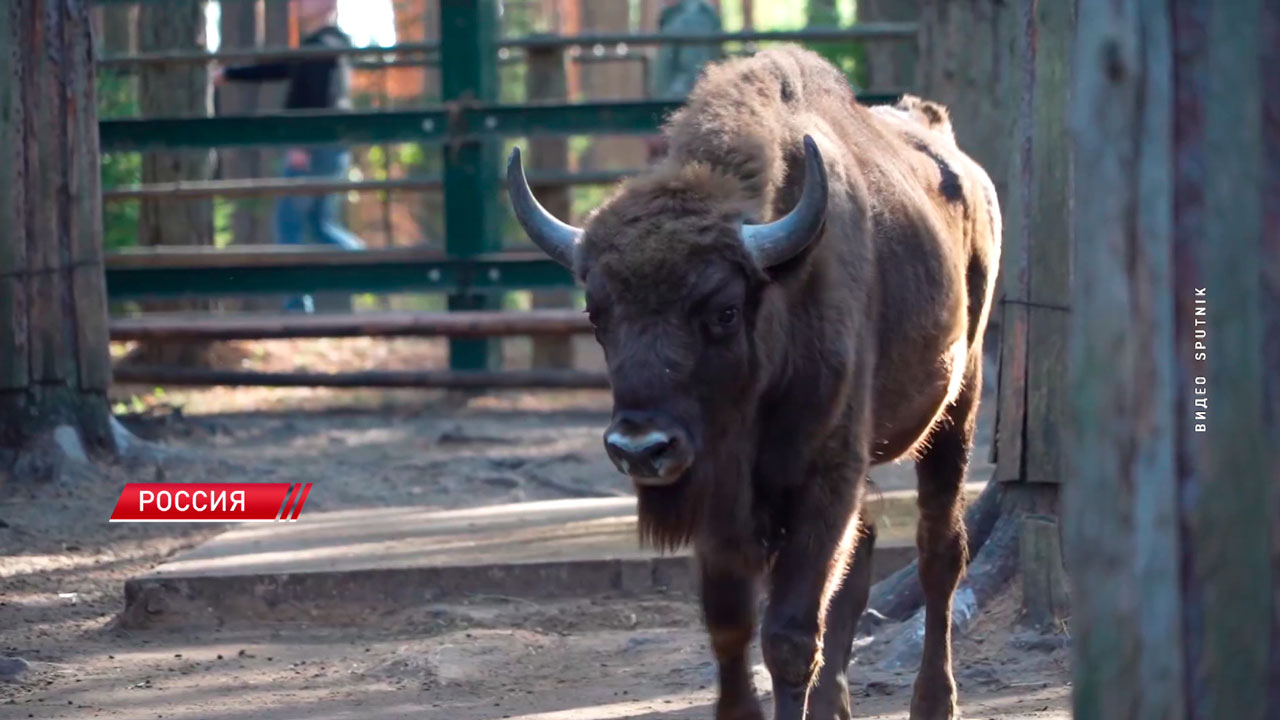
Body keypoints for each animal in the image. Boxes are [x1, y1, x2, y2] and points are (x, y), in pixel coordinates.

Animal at [509, 46, 998, 717]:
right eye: (596, 313)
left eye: (723, 310)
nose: (640, 448)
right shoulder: (719, 492)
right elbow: (730, 623)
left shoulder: (824, 474)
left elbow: (788, 634)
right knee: (866, 551)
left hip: (958, 402)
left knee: (939, 551)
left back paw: (934, 701)